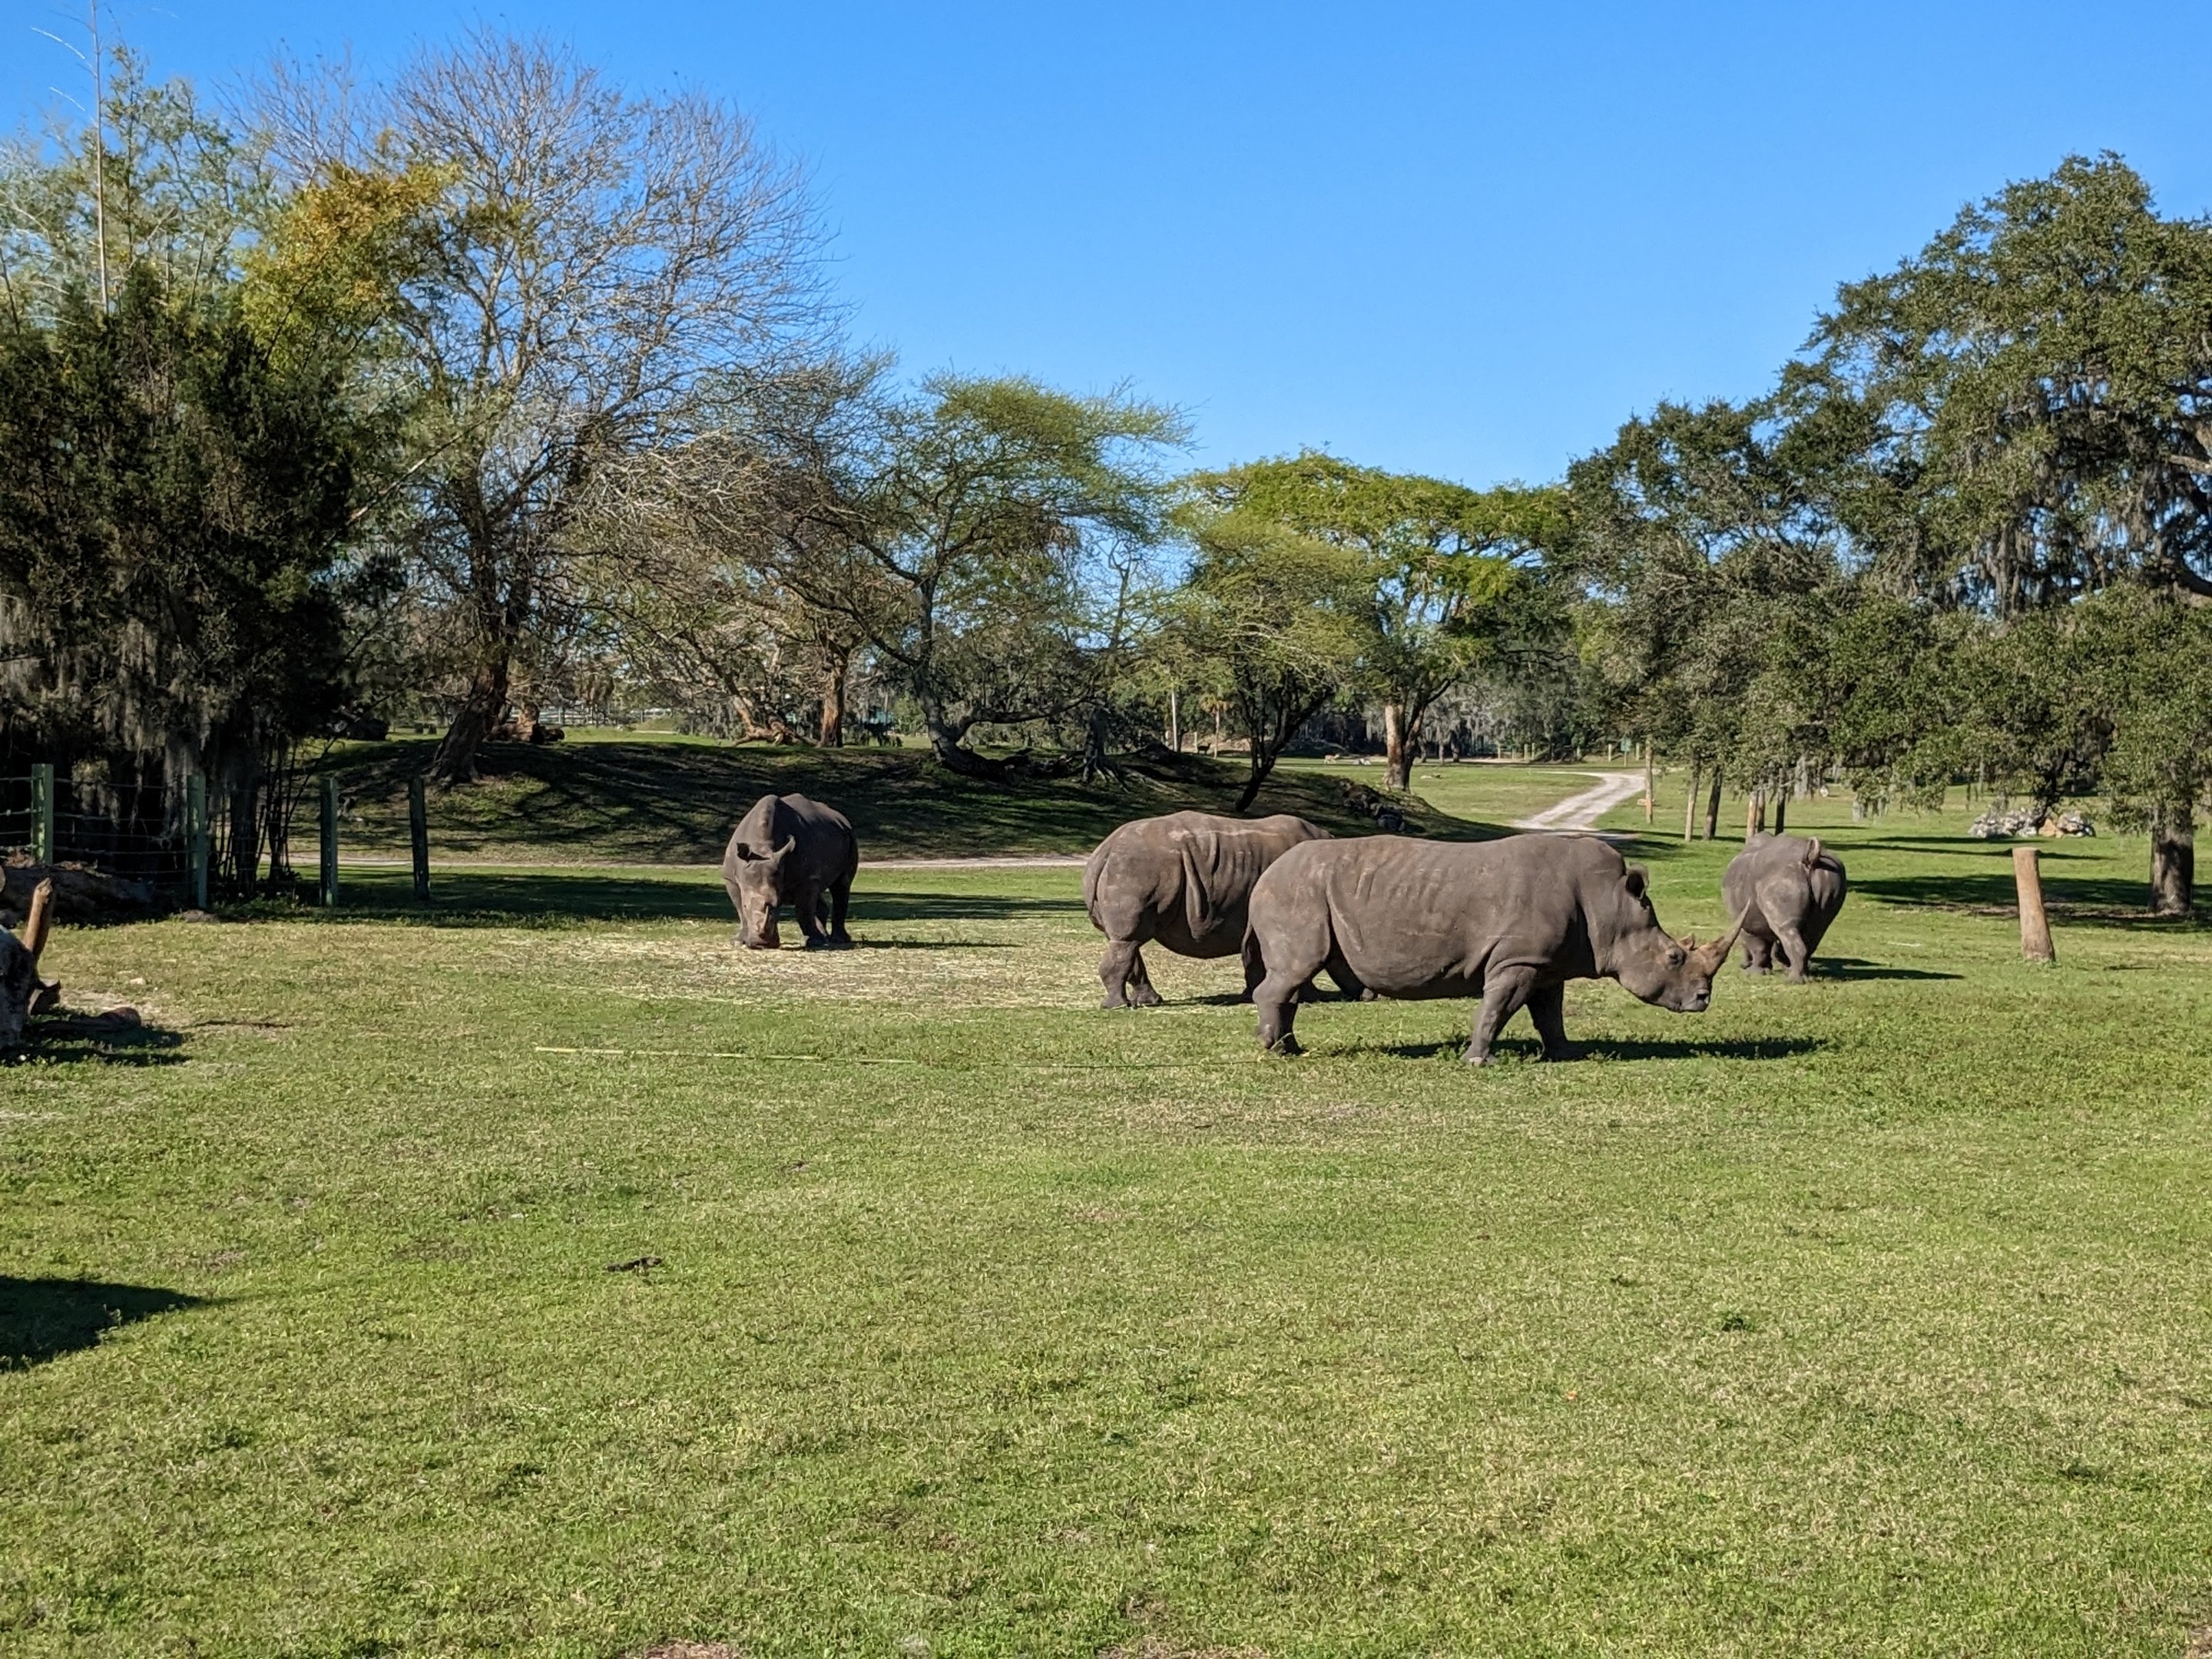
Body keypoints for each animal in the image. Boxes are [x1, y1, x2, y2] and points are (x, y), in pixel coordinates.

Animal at [721, 793, 859, 950]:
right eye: (746, 906)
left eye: (777, 905)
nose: (760, 944)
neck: (762, 847)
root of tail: (841, 819)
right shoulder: (731, 879)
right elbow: (740, 911)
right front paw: (739, 942)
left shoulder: (806, 879)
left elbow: (804, 910)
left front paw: (814, 943)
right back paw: (825, 938)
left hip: (850, 836)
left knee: (842, 885)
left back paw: (837, 940)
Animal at [1083, 811, 1333, 1008]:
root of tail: (1104, 850)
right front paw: (1309, 997)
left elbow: (1254, 955)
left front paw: (1251, 994)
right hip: (1136, 868)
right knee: (1128, 940)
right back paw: (1118, 1006)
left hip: (1130, 867)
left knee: (1126, 941)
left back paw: (1147, 1001)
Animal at [1245, 833, 1740, 1063]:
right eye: (1674, 957)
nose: (1703, 999)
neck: (1611, 904)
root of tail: (1265, 874)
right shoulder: (1516, 959)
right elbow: (1498, 1008)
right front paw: (1478, 1059)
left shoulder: (1548, 963)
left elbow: (1550, 1014)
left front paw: (1565, 1054)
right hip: (1296, 893)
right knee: (1295, 969)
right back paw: (1275, 1051)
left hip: (1303, 891)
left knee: (1296, 976)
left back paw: (1290, 1048)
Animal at [1722, 833, 1848, 981]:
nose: (1743, 965)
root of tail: (1811, 857)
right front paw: (1770, 968)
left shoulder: (1746, 923)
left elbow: (1758, 947)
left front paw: (1754, 973)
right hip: (1831, 878)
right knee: (1816, 930)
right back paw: (1804, 976)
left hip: (1782, 879)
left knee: (1786, 928)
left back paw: (1794, 980)